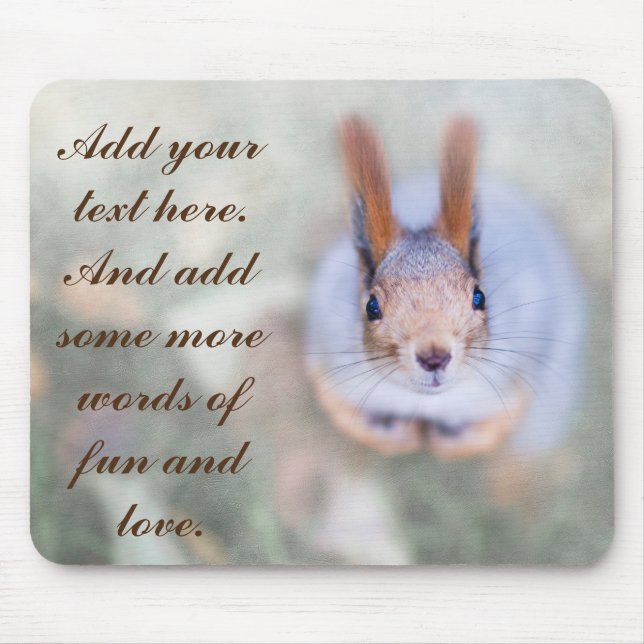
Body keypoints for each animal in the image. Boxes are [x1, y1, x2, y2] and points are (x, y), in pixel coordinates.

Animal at [307, 116, 585, 459]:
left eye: (479, 297)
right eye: (372, 306)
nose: (434, 357)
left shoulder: (521, 373)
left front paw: (447, 439)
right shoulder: (328, 362)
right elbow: (343, 412)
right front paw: (398, 434)